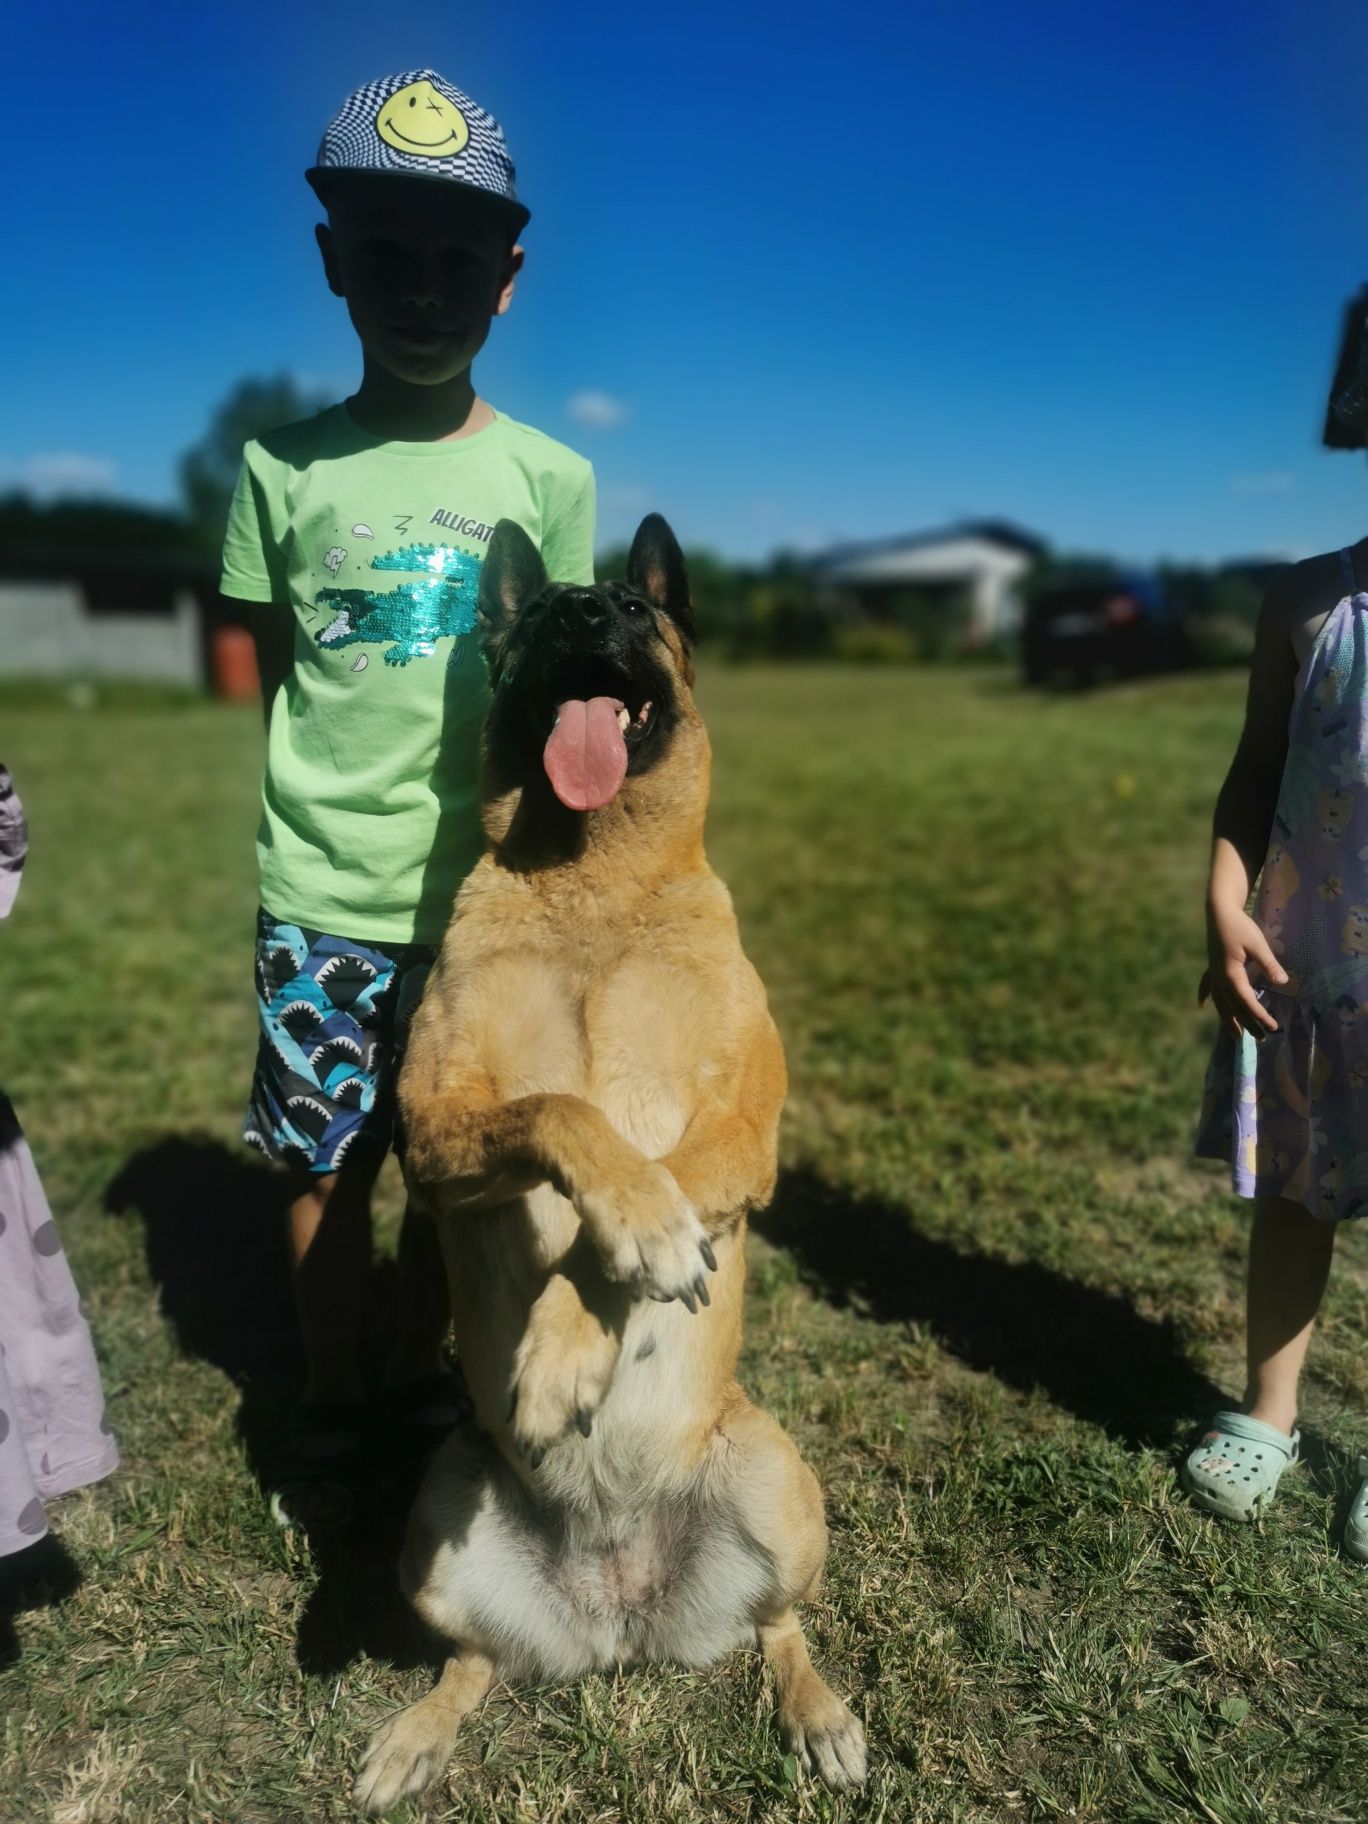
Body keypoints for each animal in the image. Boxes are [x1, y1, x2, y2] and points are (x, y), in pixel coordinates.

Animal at [353, 510, 868, 1809]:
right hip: (438, 1521)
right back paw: (417, 1735)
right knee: (473, 1661)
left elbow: (649, 1203)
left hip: (778, 1488)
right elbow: (563, 1115)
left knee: (780, 1627)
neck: (593, 880)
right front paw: (605, 1276)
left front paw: (583, 1328)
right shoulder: (438, 1129)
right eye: (539, 619)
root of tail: (619, 1612)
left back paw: (822, 1717)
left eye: (634, 613)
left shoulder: (741, 1138)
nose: (586, 615)